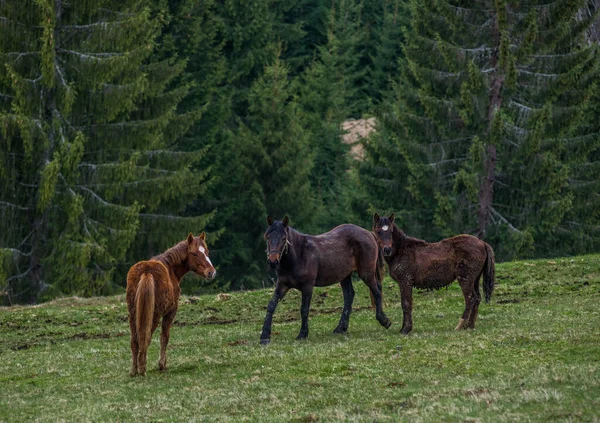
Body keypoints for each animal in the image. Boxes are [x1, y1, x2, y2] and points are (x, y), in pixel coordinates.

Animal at [126, 234, 216, 376]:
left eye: (207, 252)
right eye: (194, 253)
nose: (211, 272)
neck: (171, 269)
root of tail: (146, 272)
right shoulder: (170, 313)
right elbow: (164, 337)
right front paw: (162, 365)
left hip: (133, 314)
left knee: (135, 341)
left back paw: (134, 370)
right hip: (154, 316)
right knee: (145, 338)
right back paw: (142, 369)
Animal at [260, 215, 392, 344]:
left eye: (284, 238)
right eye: (268, 237)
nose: (273, 261)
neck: (299, 255)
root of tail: (369, 233)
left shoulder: (307, 286)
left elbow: (304, 309)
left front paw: (302, 334)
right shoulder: (283, 284)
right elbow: (271, 305)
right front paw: (265, 336)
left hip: (366, 274)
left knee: (377, 291)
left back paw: (384, 320)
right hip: (345, 276)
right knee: (349, 295)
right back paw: (341, 328)